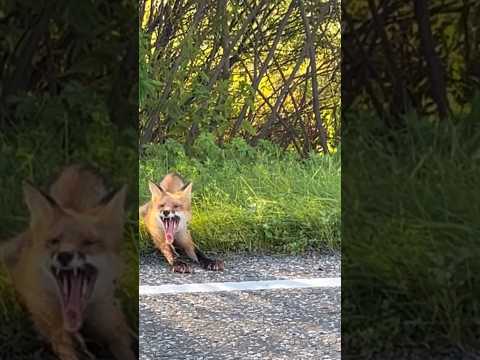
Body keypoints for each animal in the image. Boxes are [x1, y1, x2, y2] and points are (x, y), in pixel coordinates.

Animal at [0, 165, 135, 360]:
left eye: (88, 242)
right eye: (54, 241)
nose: (64, 255)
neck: (81, 319)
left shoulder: (112, 322)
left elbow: (126, 348)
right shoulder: (54, 328)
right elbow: (68, 350)